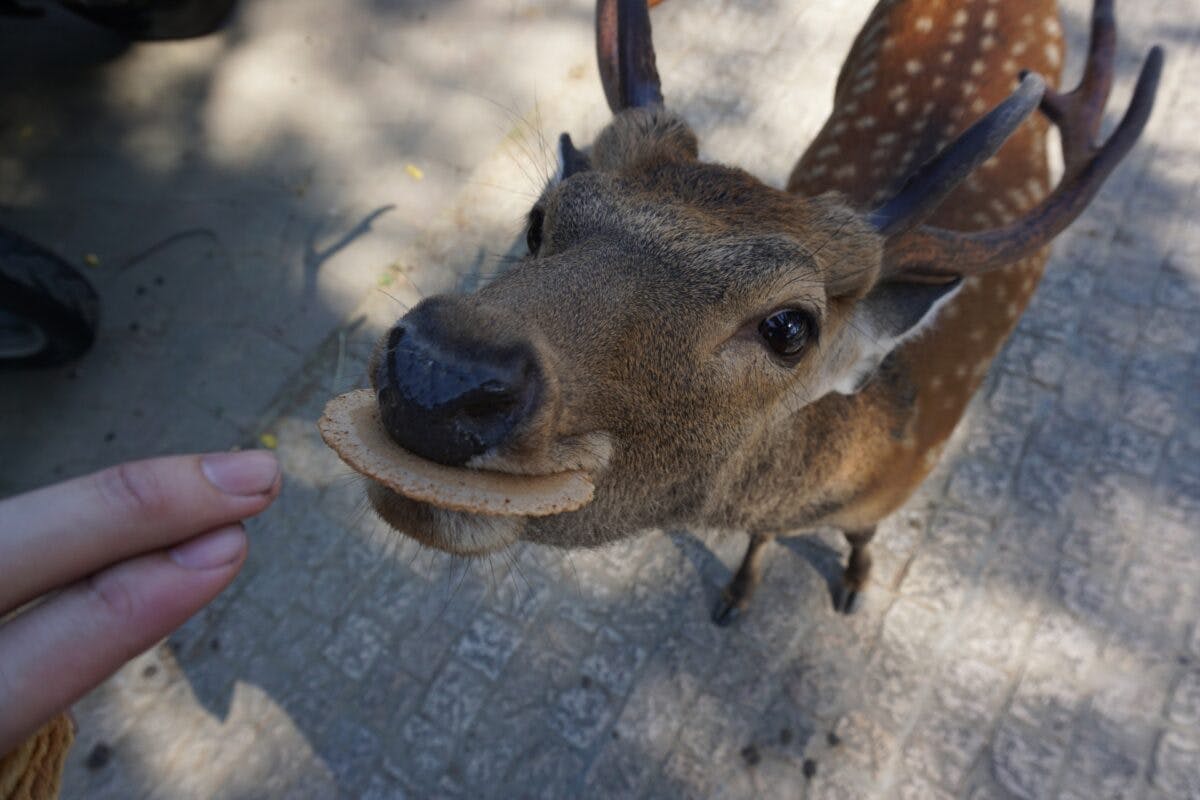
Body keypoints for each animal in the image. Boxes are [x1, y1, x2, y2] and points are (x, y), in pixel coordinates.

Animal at [357, 0, 1161, 623]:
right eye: (537, 218)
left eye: (789, 327)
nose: (437, 370)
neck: (879, 443)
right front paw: (738, 595)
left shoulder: (896, 493)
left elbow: (862, 542)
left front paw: (854, 584)